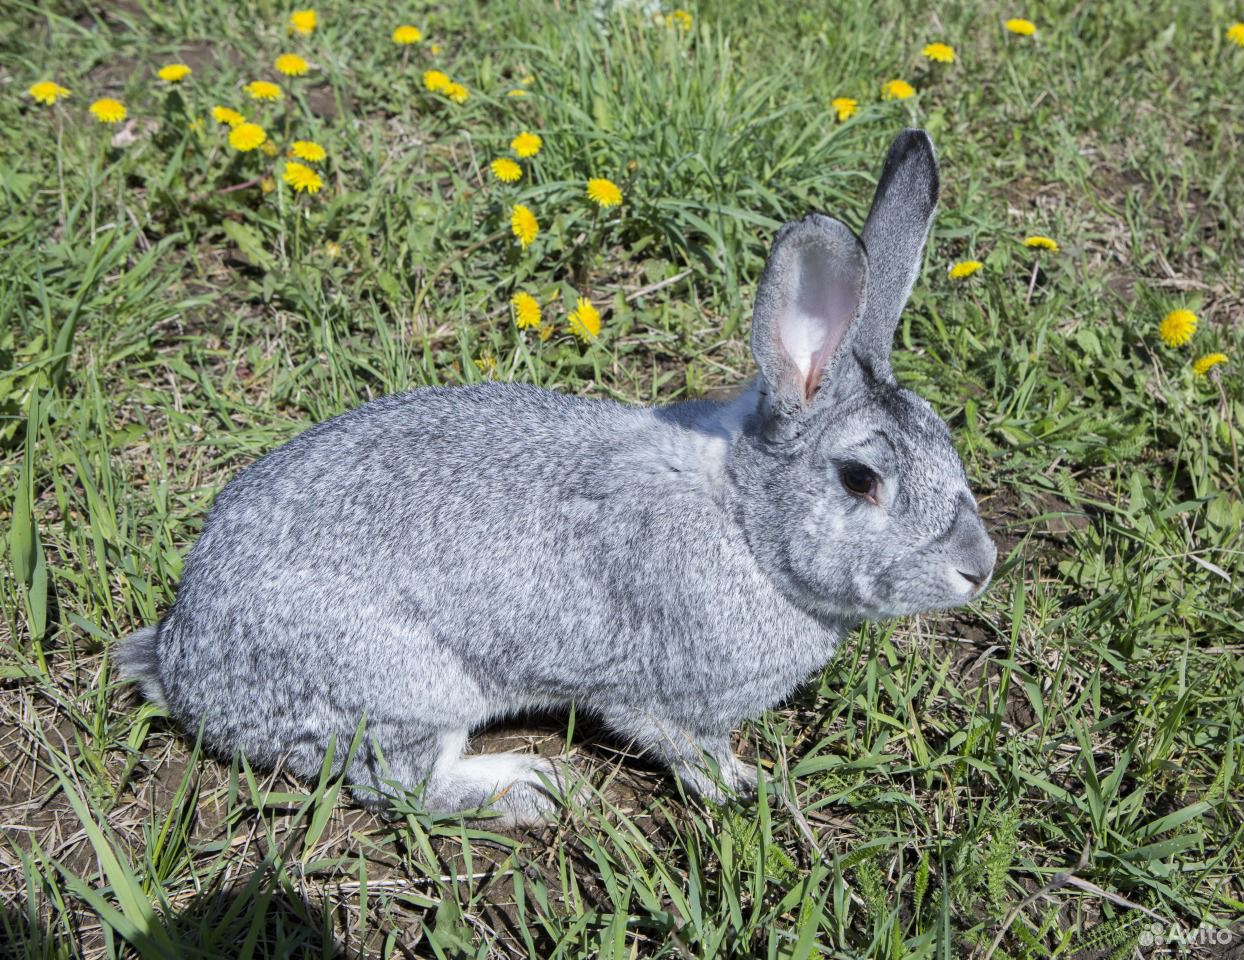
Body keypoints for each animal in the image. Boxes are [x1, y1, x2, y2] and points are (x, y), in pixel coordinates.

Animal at [116, 131, 990, 830]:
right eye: (860, 478)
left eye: (946, 442)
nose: (979, 568)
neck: (744, 524)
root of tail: (185, 666)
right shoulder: (662, 701)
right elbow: (688, 748)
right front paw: (745, 788)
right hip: (402, 688)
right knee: (401, 782)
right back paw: (534, 789)